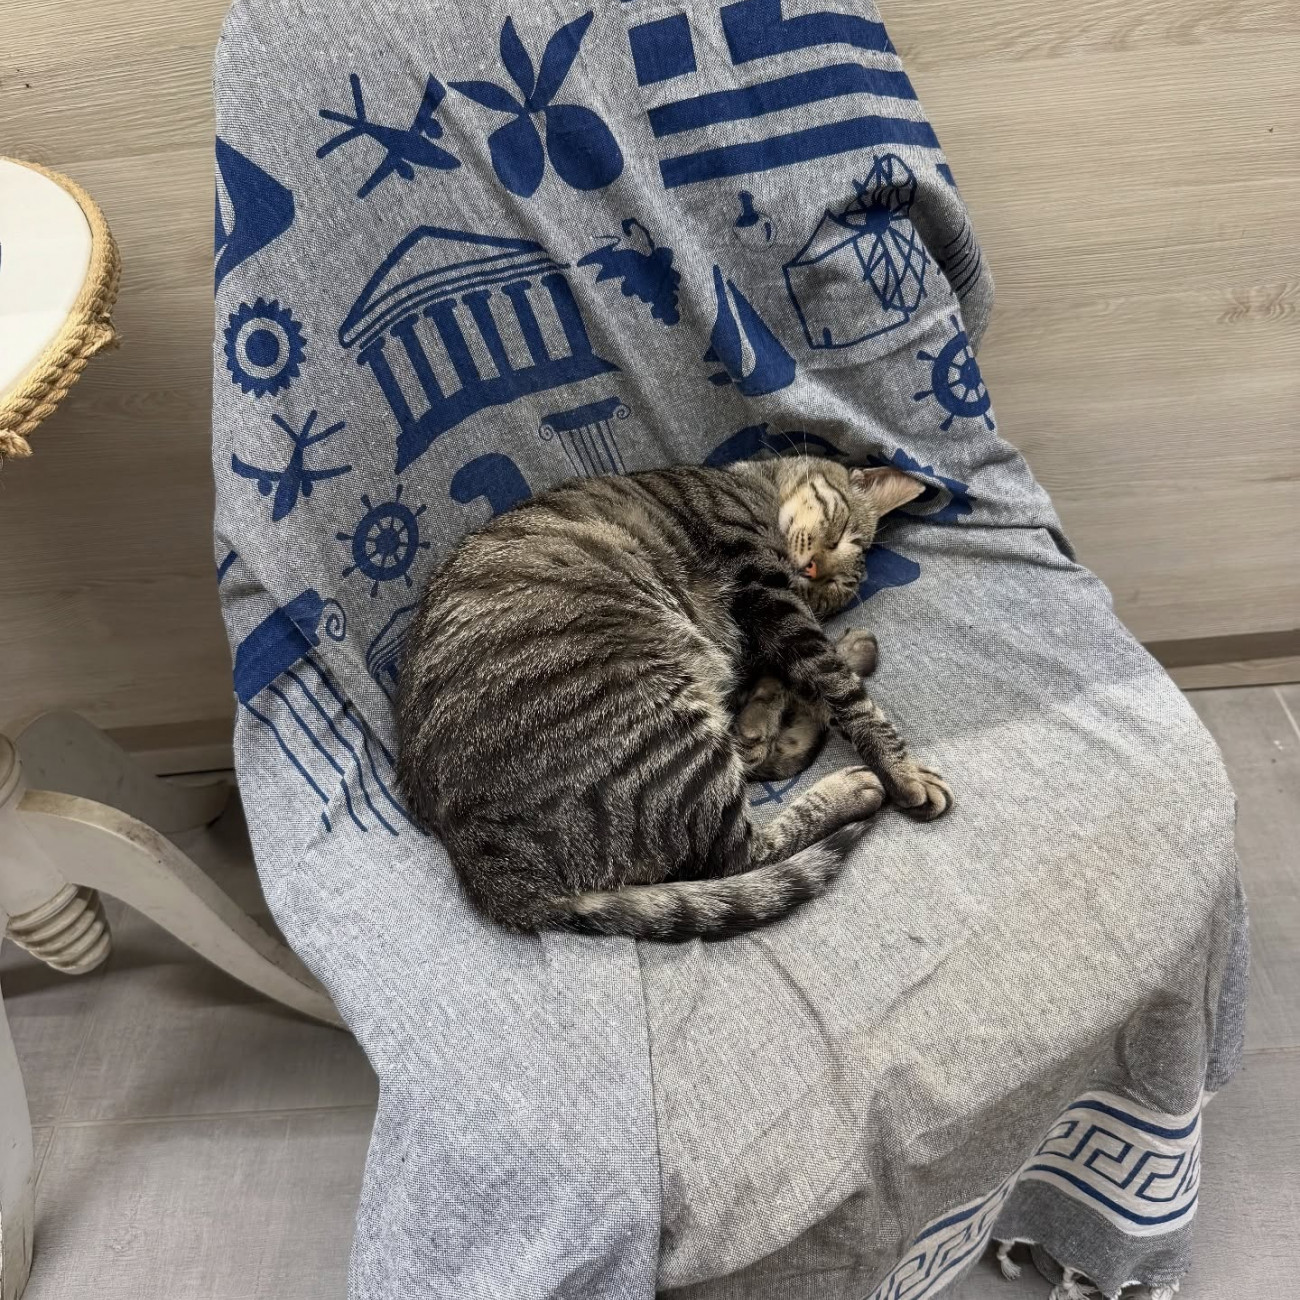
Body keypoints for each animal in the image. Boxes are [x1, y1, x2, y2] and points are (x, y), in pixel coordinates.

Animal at [395, 455, 951, 942]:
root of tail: (487, 870)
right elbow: (838, 686)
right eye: (842, 533)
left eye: (833, 588)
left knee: (753, 778)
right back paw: (852, 783)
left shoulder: (768, 620)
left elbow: (794, 679)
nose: (815, 572)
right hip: (662, 722)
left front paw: (772, 710)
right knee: (740, 854)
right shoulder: (767, 589)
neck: (755, 484)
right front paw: (902, 769)